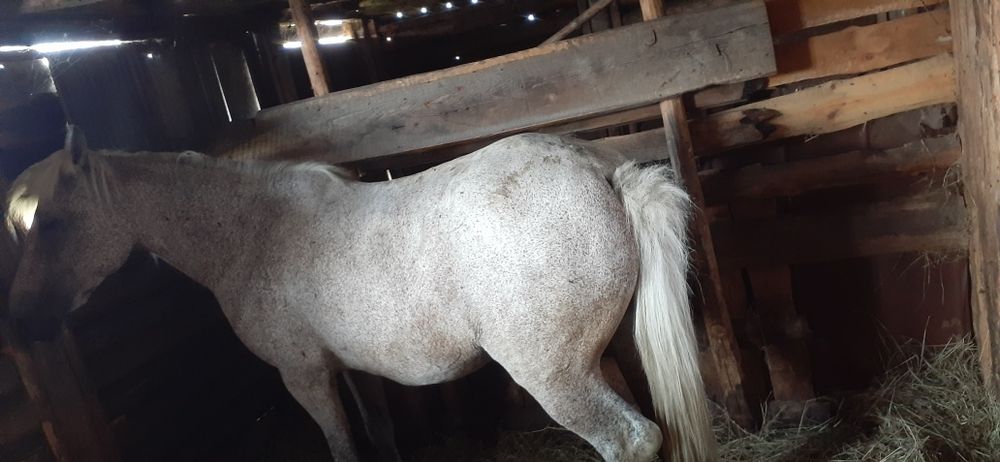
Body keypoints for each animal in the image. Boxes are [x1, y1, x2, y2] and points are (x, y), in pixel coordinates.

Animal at [6, 127, 715, 461]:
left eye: (55, 222)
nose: (23, 322)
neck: (252, 232)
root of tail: (603, 171)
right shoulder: (355, 371)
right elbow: (380, 433)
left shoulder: (306, 378)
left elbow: (343, 446)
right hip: (609, 355)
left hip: (556, 375)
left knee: (629, 439)